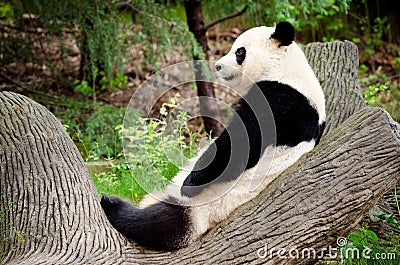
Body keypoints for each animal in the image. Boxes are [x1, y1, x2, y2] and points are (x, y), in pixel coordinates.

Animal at [100, 22, 324, 250]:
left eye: (239, 52)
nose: (217, 66)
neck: (284, 68)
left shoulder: (280, 101)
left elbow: (240, 144)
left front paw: (190, 183)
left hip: (204, 205)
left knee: (160, 223)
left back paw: (113, 204)